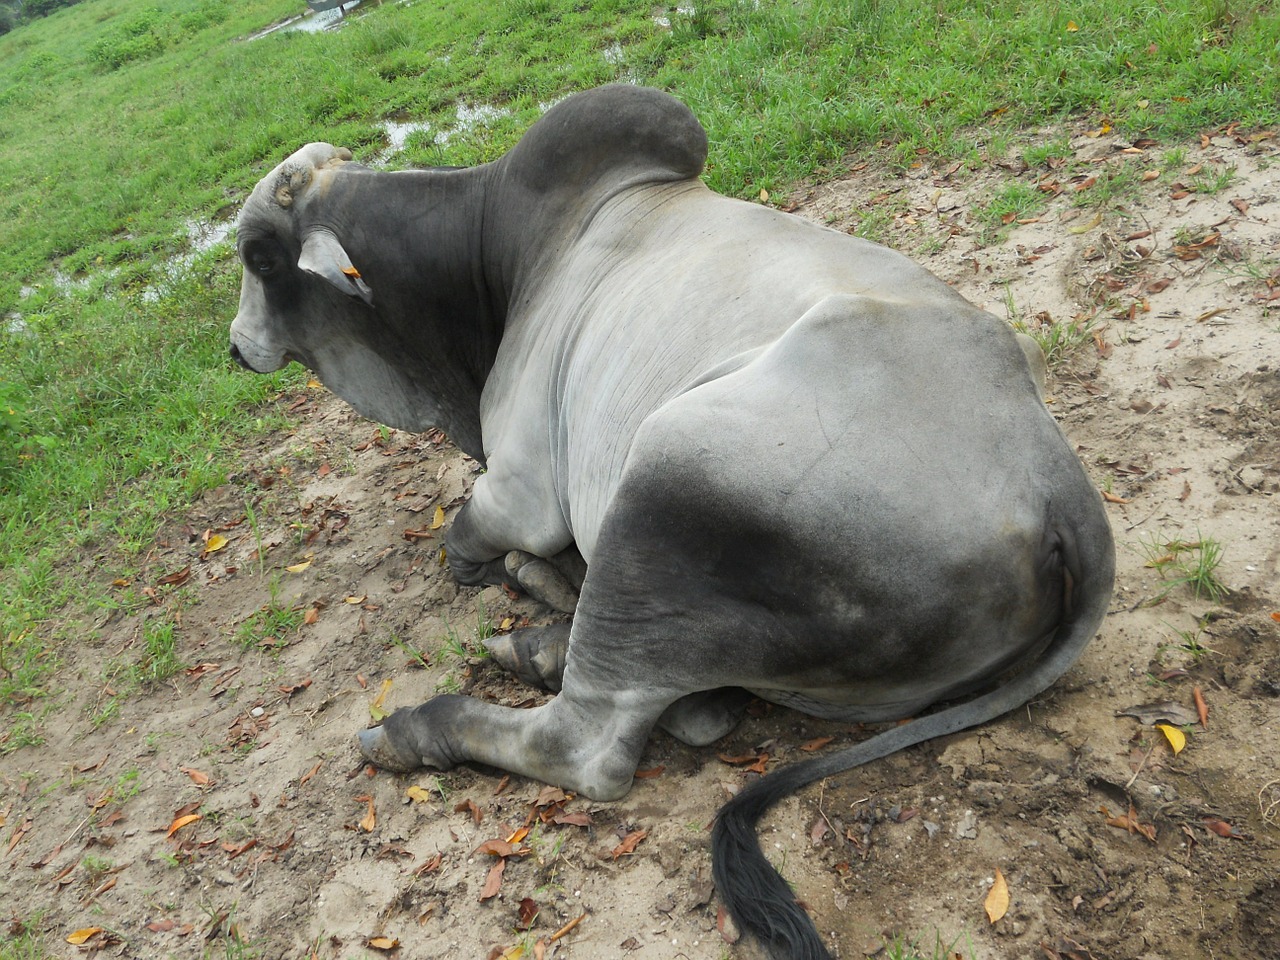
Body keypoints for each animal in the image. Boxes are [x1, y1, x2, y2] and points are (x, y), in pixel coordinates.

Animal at [230, 86, 1111, 957]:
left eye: (261, 258)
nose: (238, 349)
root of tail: (1058, 488)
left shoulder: (520, 491)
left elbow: (461, 540)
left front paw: (499, 576)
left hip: (667, 467)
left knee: (597, 741)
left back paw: (432, 719)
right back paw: (540, 639)